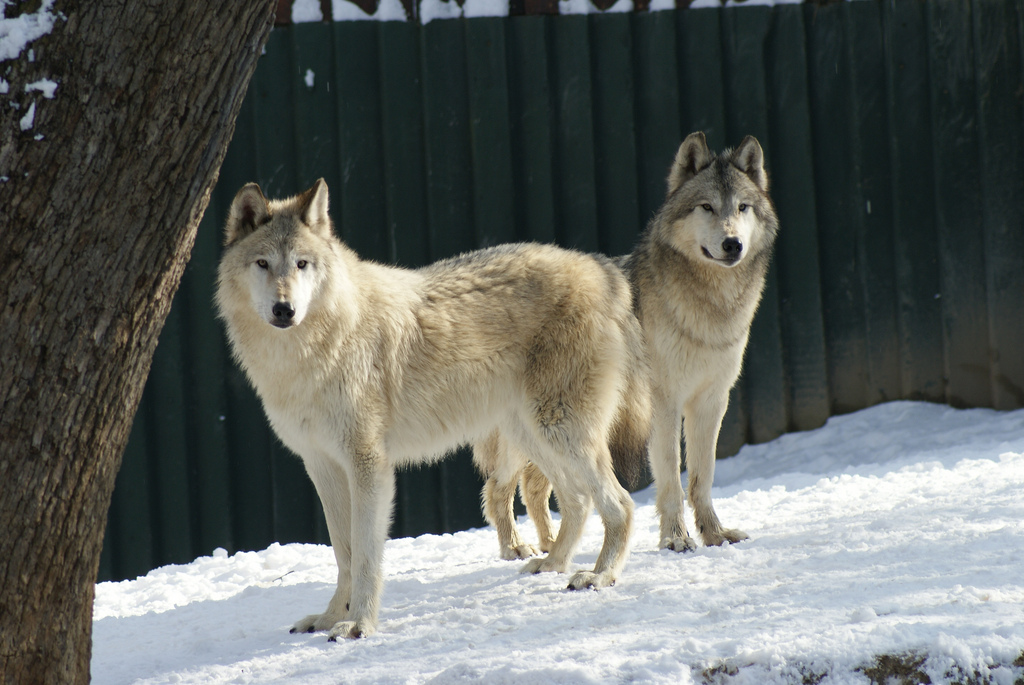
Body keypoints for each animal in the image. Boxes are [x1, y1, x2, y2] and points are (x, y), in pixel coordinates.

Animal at [214, 179, 647, 638]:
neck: (311, 351)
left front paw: (359, 623)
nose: (285, 309)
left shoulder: (367, 465)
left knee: (620, 503)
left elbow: (365, 555)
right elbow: (343, 553)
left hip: (559, 431)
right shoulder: (322, 465)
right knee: (578, 501)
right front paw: (331, 617)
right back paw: (552, 563)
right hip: (533, 435)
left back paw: (599, 575)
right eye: (262, 263)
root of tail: (603, 268)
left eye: (301, 264)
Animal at [475, 132, 778, 557]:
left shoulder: (712, 401)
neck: (707, 310)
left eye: (742, 207)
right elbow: (671, 479)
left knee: (535, 488)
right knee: (497, 488)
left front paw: (715, 534)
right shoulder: (663, 404)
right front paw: (676, 538)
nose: (732, 243)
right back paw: (518, 549)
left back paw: (552, 546)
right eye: (706, 207)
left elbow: (702, 477)